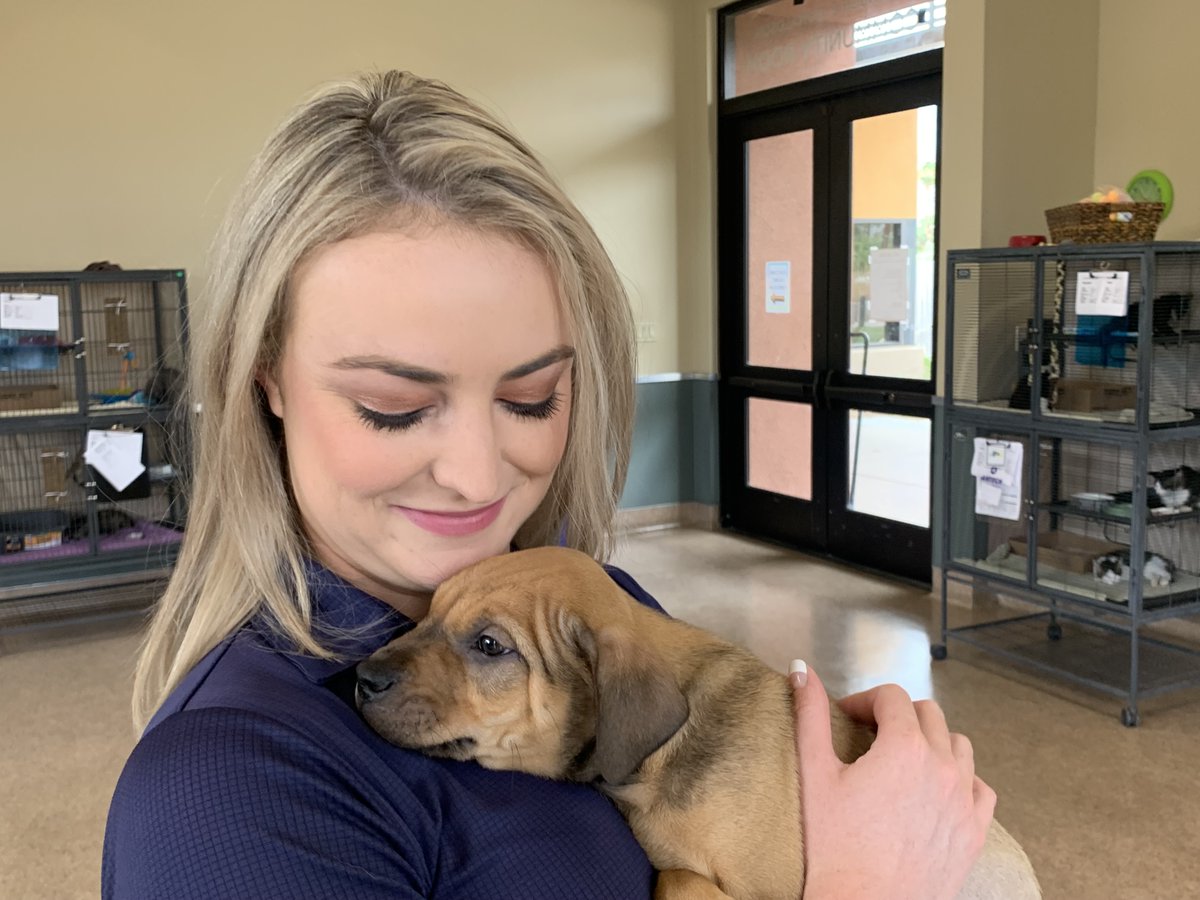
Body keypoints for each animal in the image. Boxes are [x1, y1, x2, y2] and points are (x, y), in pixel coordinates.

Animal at [355, 547, 1041, 897]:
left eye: (490, 646)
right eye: (428, 612)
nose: (362, 679)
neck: (652, 770)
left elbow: (681, 880)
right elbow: (678, 873)